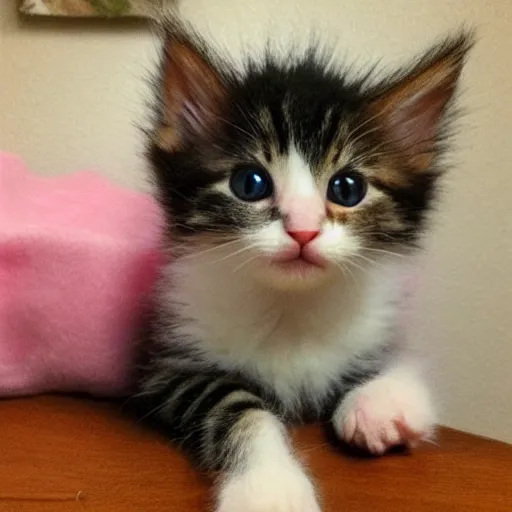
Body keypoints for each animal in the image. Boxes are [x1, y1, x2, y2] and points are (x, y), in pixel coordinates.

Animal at [132, 18, 472, 512]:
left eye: (347, 188)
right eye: (250, 183)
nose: (303, 230)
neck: (290, 307)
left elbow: (390, 355)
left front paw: (383, 398)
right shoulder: (168, 369)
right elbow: (234, 403)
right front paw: (269, 485)